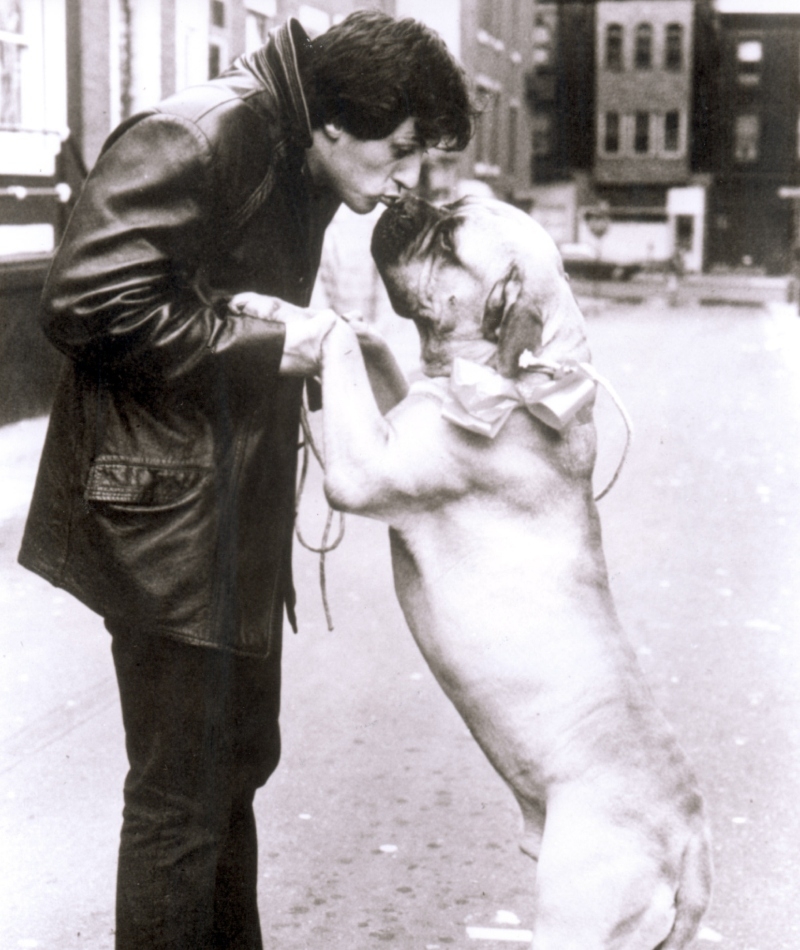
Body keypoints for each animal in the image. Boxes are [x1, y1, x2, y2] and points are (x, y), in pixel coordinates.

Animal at [318, 197, 712, 948]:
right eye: (447, 210)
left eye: (449, 240)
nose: (405, 198)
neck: (523, 378)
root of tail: (689, 847)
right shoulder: (398, 413)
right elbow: (377, 363)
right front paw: (354, 325)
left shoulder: (363, 466)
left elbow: (342, 360)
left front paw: (303, 319)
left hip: (576, 914)